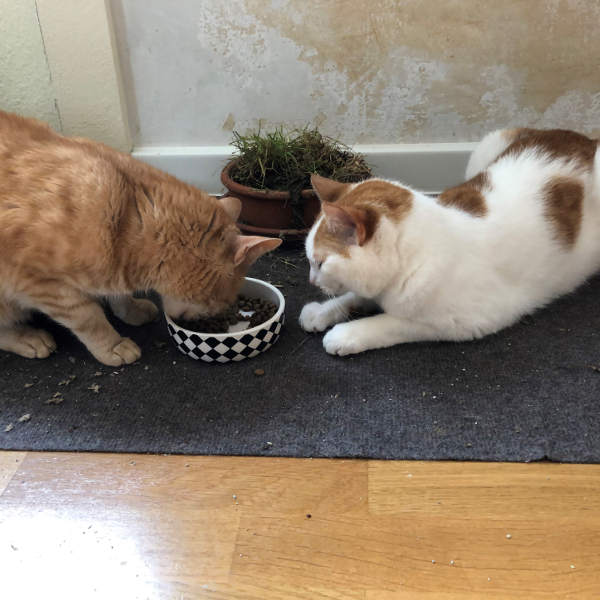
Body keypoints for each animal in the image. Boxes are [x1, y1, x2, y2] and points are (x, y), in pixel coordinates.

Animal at [0, 110, 281, 365]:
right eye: (219, 301)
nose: (210, 317)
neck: (127, 218)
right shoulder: (42, 284)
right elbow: (89, 319)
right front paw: (112, 345)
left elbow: (119, 295)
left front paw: (131, 309)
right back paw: (28, 339)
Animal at [300, 128, 600, 355]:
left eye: (319, 263)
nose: (311, 281)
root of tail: (588, 139)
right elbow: (355, 296)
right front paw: (321, 312)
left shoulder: (466, 320)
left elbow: (391, 322)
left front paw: (346, 334)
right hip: (488, 146)